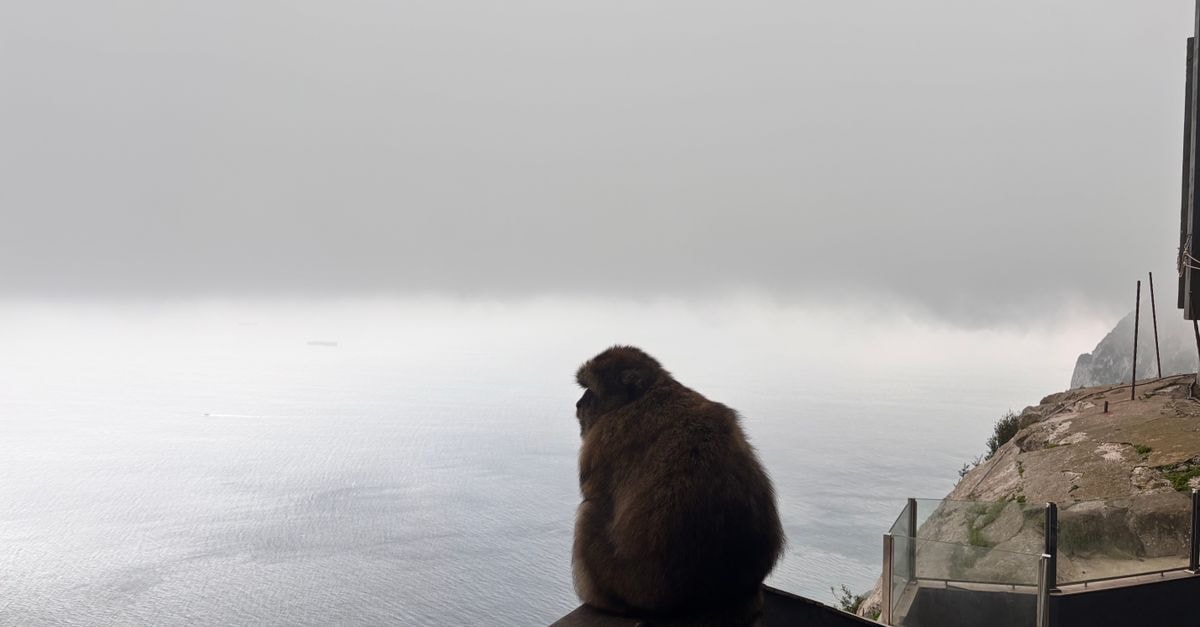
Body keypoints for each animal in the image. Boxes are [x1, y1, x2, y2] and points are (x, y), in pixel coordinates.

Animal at [572, 345, 785, 627]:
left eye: (591, 390)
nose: (579, 403)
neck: (647, 393)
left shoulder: (600, 442)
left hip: (626, 584)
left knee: (589, 513)